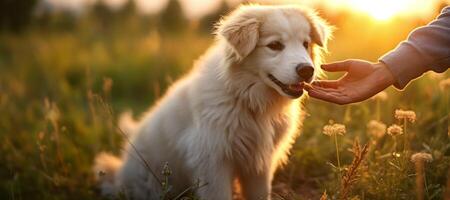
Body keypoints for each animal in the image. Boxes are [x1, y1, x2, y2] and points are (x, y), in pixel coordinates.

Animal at [94, 4, 330, 200]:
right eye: (274, 45)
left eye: (305, 44)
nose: (307, 70)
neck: (246, 98)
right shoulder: (212, 160)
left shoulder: (260, 163)